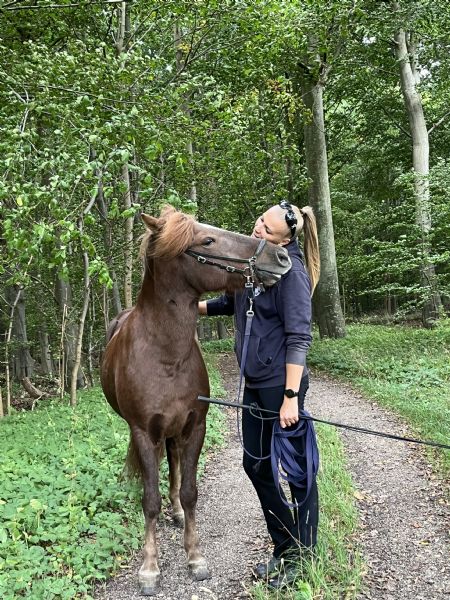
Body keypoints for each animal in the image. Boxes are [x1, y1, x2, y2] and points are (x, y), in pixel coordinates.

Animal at [100, 205, 291, 596]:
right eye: (206, 240)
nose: (279, 257)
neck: (164, 355)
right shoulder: (143, 432)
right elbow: (149, 500)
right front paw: (149, 568)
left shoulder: (194, 426)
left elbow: (189, 491)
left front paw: (195, 556)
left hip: (175, 431)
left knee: (173, 464)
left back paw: (176, 513)